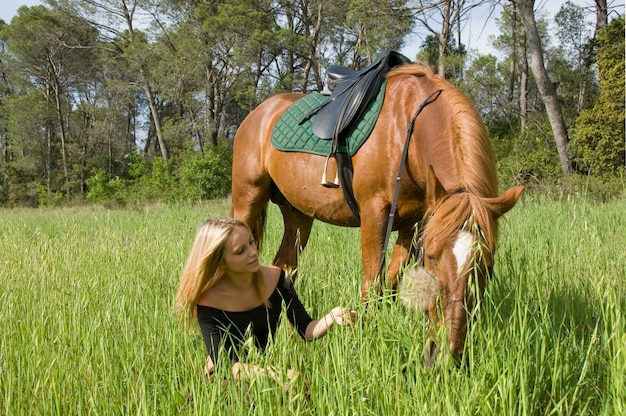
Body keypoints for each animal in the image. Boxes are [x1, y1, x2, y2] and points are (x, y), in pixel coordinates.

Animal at [229, 62, 520, 368]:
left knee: (284, 268)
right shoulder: (374, 214)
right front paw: (365, 346)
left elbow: (391, 281)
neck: (409, 131)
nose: (446, 355)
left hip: (298, 216)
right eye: (431, 257)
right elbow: (372, 285)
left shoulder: (412, 223)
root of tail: (257, 114)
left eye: (488, 264)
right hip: (247, 201)